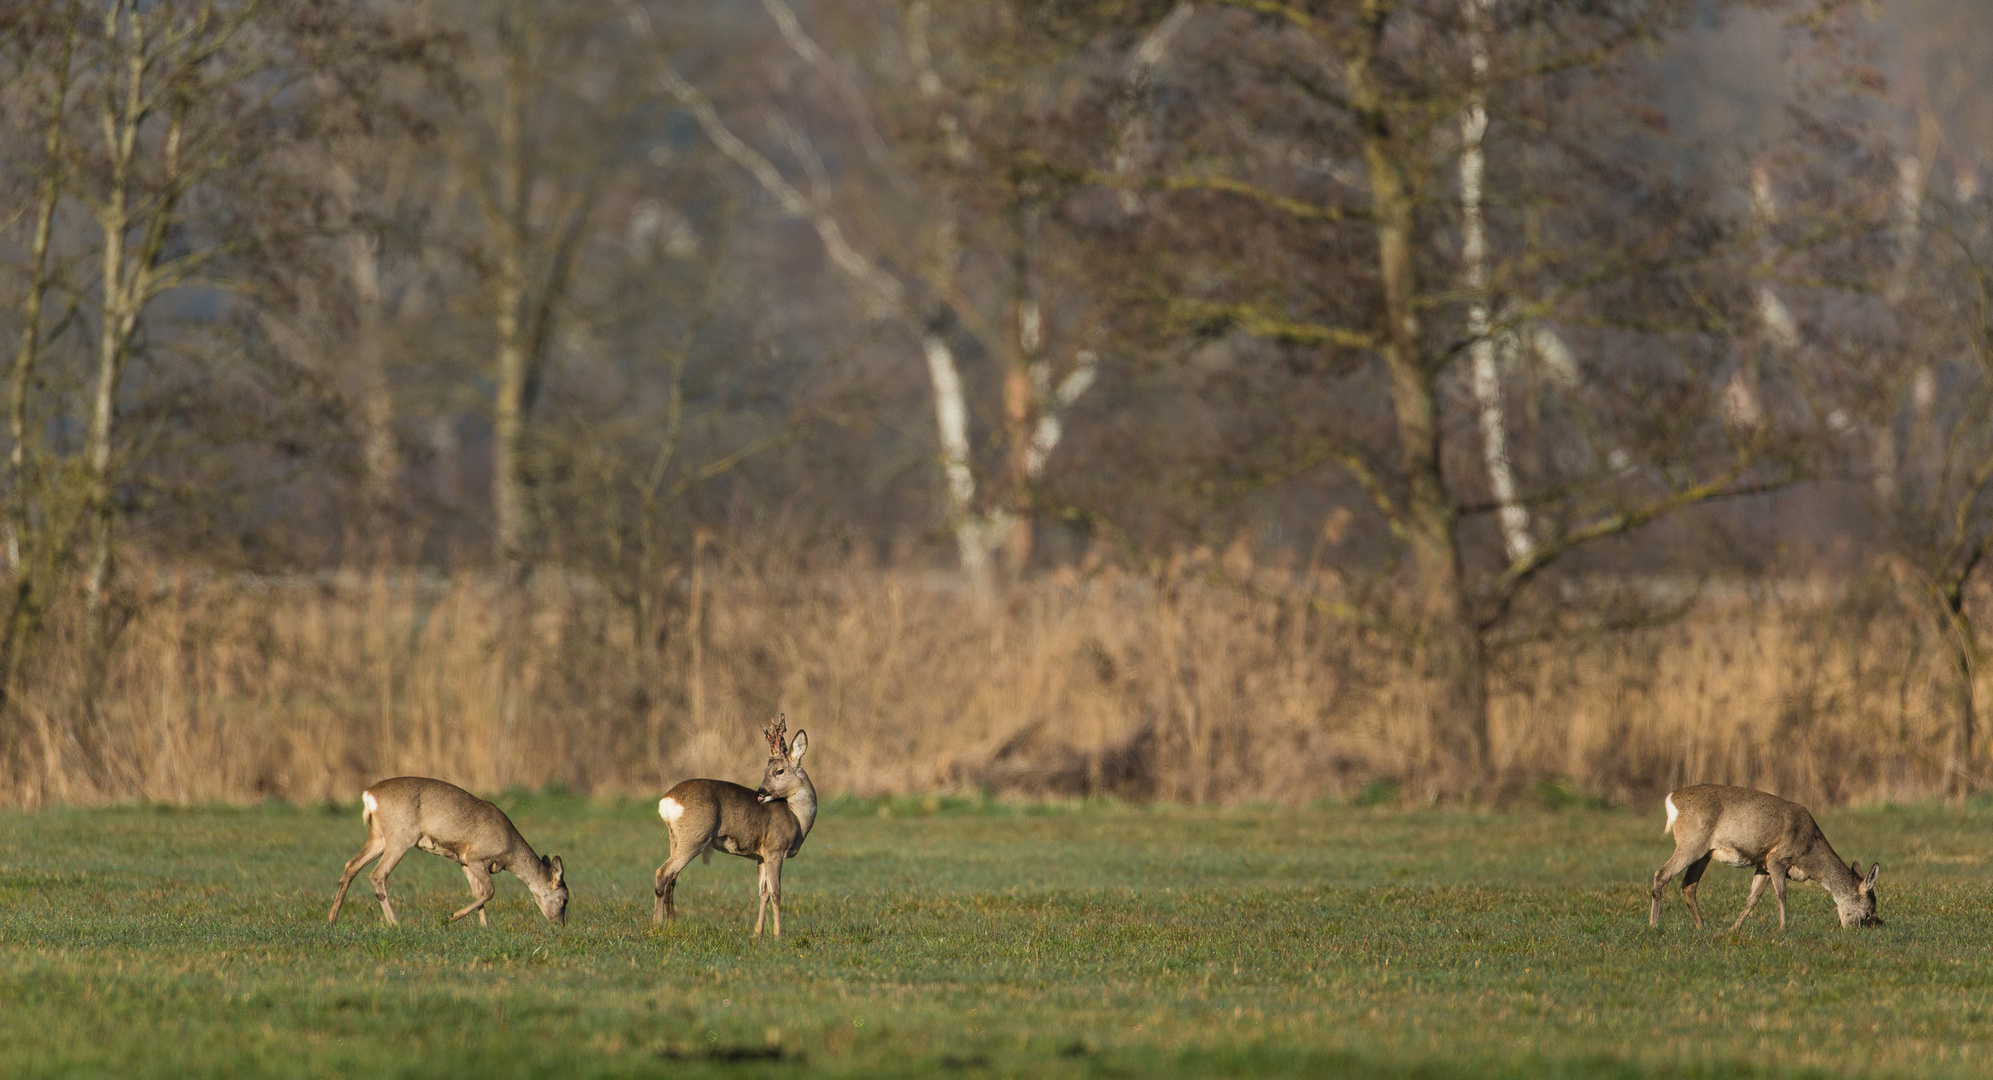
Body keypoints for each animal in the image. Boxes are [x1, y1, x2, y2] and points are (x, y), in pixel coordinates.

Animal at [322, 781, 566, 932]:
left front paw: (483, 928)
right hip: (400, 837)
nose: (559, 924)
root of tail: (369, 795)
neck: (510, 852)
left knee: (351, 866)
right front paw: (450, 918)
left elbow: (478, 893)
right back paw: (394, 923)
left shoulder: (464, 861)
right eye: (564, 899)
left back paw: (332, 919)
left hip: (378, 838)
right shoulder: (476, 857)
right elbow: (489, 892)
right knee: (377, 874)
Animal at [649, 721, 813, 940]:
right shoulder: (775, 850)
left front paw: (757, 933)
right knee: (663, 872)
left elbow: (763, 893)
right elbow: (776, 893)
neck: (797, 817)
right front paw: (778, 935)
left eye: (779, 771)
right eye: (766, 770)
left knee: (672, 878)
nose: (761, 792)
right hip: (695, 837)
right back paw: (657, 924)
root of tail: (667, 801)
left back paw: (672, 923)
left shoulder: (760, 855)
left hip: (675, 838)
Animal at [1650, 785, 1881, 936]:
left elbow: (1753, 898)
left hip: (1704, 852)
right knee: (1661, 874)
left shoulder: (1763, 865)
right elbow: (1782, 894)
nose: (1854, 931)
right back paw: (1654, 925)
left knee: (1688, 885)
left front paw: (1733, 929)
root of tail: (1671, 799)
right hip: (1691, 842)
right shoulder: (1776, 858)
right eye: (1868, 912)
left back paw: (1702, 928)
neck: (1809, 852)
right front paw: (1783, 929)